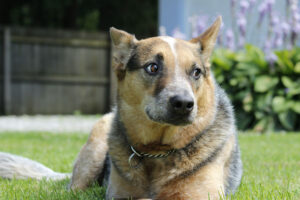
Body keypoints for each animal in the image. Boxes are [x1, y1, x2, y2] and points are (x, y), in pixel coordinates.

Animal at [0, 16, 241, 199]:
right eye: (153, 67)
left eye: (196, 72)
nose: (183, 104)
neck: (158, 151)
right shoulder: (119, 194)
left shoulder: (198, 195)